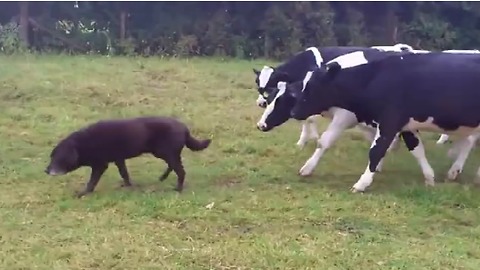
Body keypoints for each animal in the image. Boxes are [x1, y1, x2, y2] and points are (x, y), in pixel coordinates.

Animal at [45, 115, 210, 196]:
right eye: (51, 156)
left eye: (57, 157)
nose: (46, 170)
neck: (82, 144)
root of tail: (184, 128)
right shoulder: (119, 159)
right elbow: (124, 173)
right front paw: (128, 186)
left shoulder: (100, 165)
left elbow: (92, 182)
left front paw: (83, 193)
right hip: (164, 153)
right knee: (174, 166)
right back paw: (162, 178)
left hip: (165, 152)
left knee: (181, 171)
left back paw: (178, 189)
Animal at [288, 50, 480, 193]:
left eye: (313, 86)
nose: (294, 111)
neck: (374, 78)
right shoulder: (407, 126)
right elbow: (417, 150)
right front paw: (429, 177)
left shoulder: (389, 122)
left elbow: (376, 151)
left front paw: (362, 183)